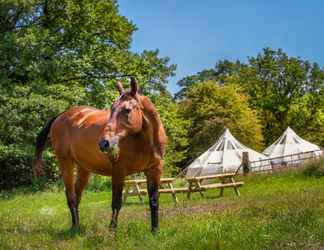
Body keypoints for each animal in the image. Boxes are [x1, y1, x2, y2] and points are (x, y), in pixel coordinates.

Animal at [33, 78, 167, 232]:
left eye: (127, 110)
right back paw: (75, 227)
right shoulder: (118, 171)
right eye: (112, 109)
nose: (104, 143)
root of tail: (61, 116)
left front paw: (155, 230)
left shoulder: (154, 170)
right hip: (66, 163)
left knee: (77, 196)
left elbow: (154, 201)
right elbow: (116, 203)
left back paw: (77, 226)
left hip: (84, 169)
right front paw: (112, 230)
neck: (145, 141)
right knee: (71, 196)